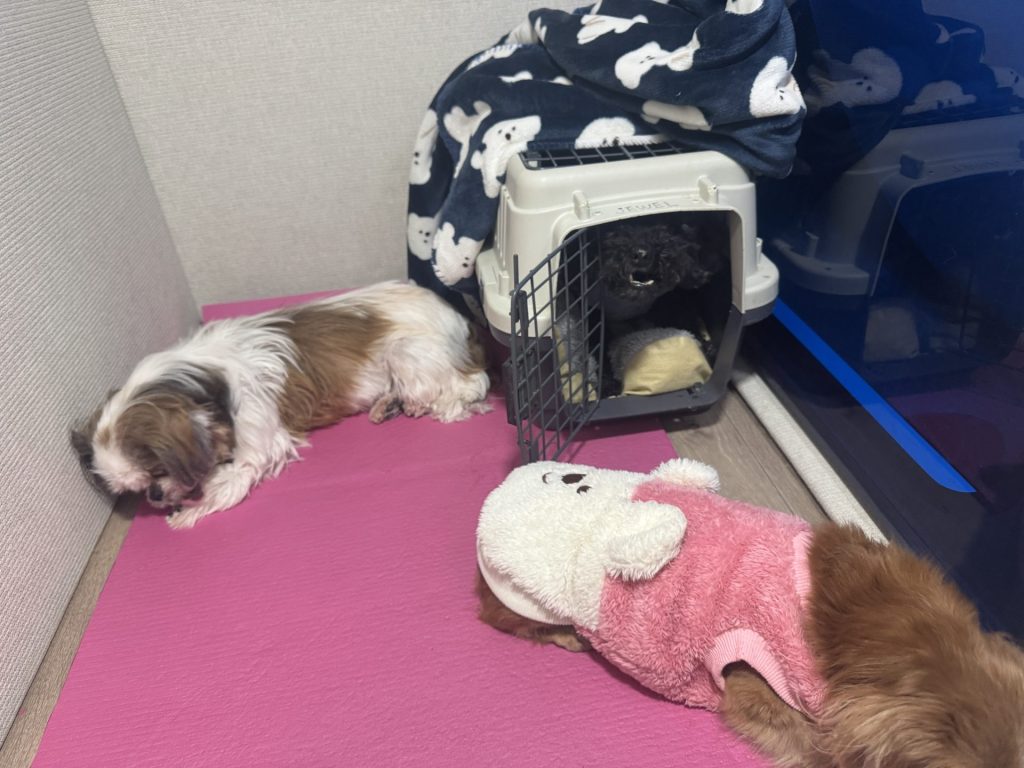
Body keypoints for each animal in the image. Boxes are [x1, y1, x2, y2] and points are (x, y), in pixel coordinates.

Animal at [72, 281, 490, 529]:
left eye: (158, 471)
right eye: (142, 486)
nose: (154, 496)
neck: (209, 381)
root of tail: (461, 319)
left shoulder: (258, 434)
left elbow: (232, 480)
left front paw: (190, 510)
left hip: (409, 352)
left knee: (467, 386)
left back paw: (433, 404)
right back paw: (388, 405)